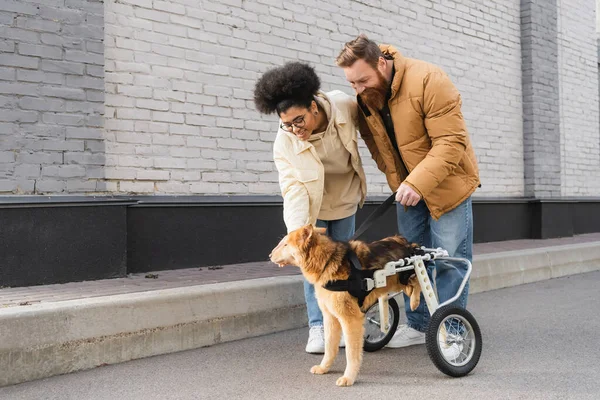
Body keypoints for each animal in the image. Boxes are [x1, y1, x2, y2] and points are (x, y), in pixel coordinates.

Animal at [270, 225, 420, 384]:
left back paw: (415, 301)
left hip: (403, 277)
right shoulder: (330, 317)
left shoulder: (350, 319)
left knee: (417, 281)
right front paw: (324, 367)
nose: (269, 255)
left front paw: (349, 377)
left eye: (285, 244)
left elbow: (351, 353)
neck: (327, 261)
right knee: (407, 288)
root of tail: (405, 242)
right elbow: (329, 347)